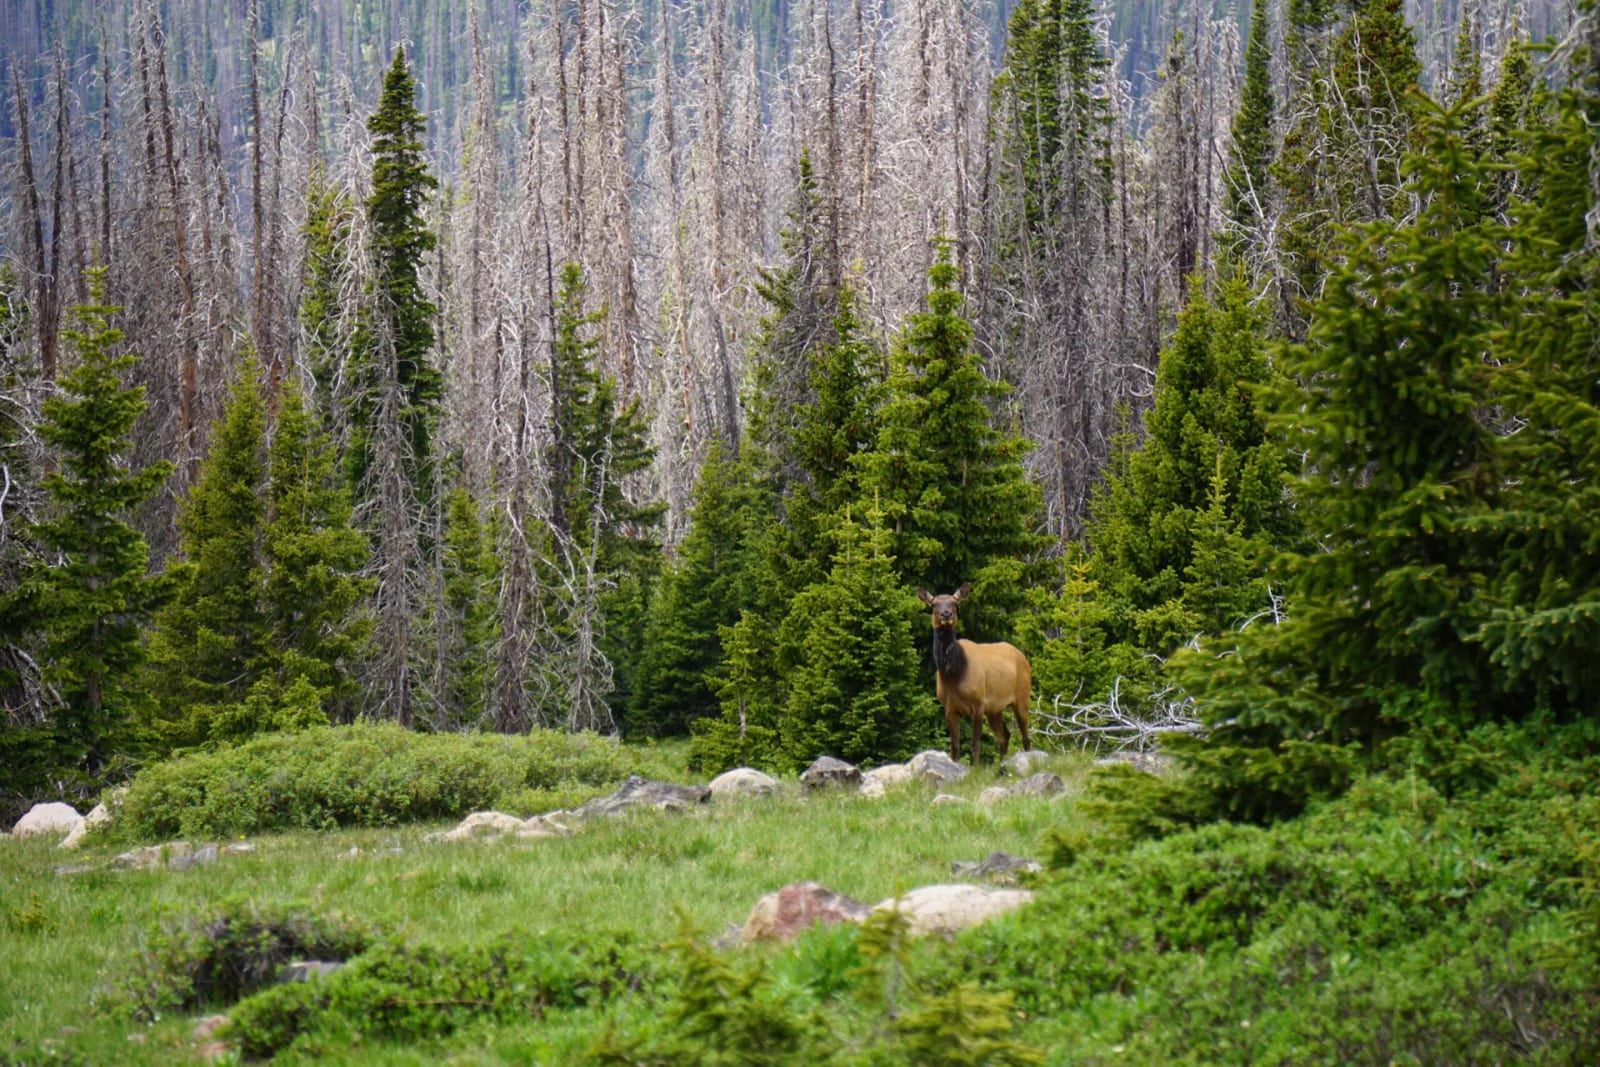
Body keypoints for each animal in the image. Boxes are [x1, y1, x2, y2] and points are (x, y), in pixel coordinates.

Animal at [916, 583, 1033, 767]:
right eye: (934, 604)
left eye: (954, 603)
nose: (946, 614)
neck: (953, 675)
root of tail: (1022, 656)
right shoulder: (949, 708)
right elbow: (955, 746)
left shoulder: (978, 704)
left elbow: (975, 743)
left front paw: (976, 768)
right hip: (994, 708)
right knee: (1005, 735)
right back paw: (1002, 766)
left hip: (1022, 696)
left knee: (1025, 736)